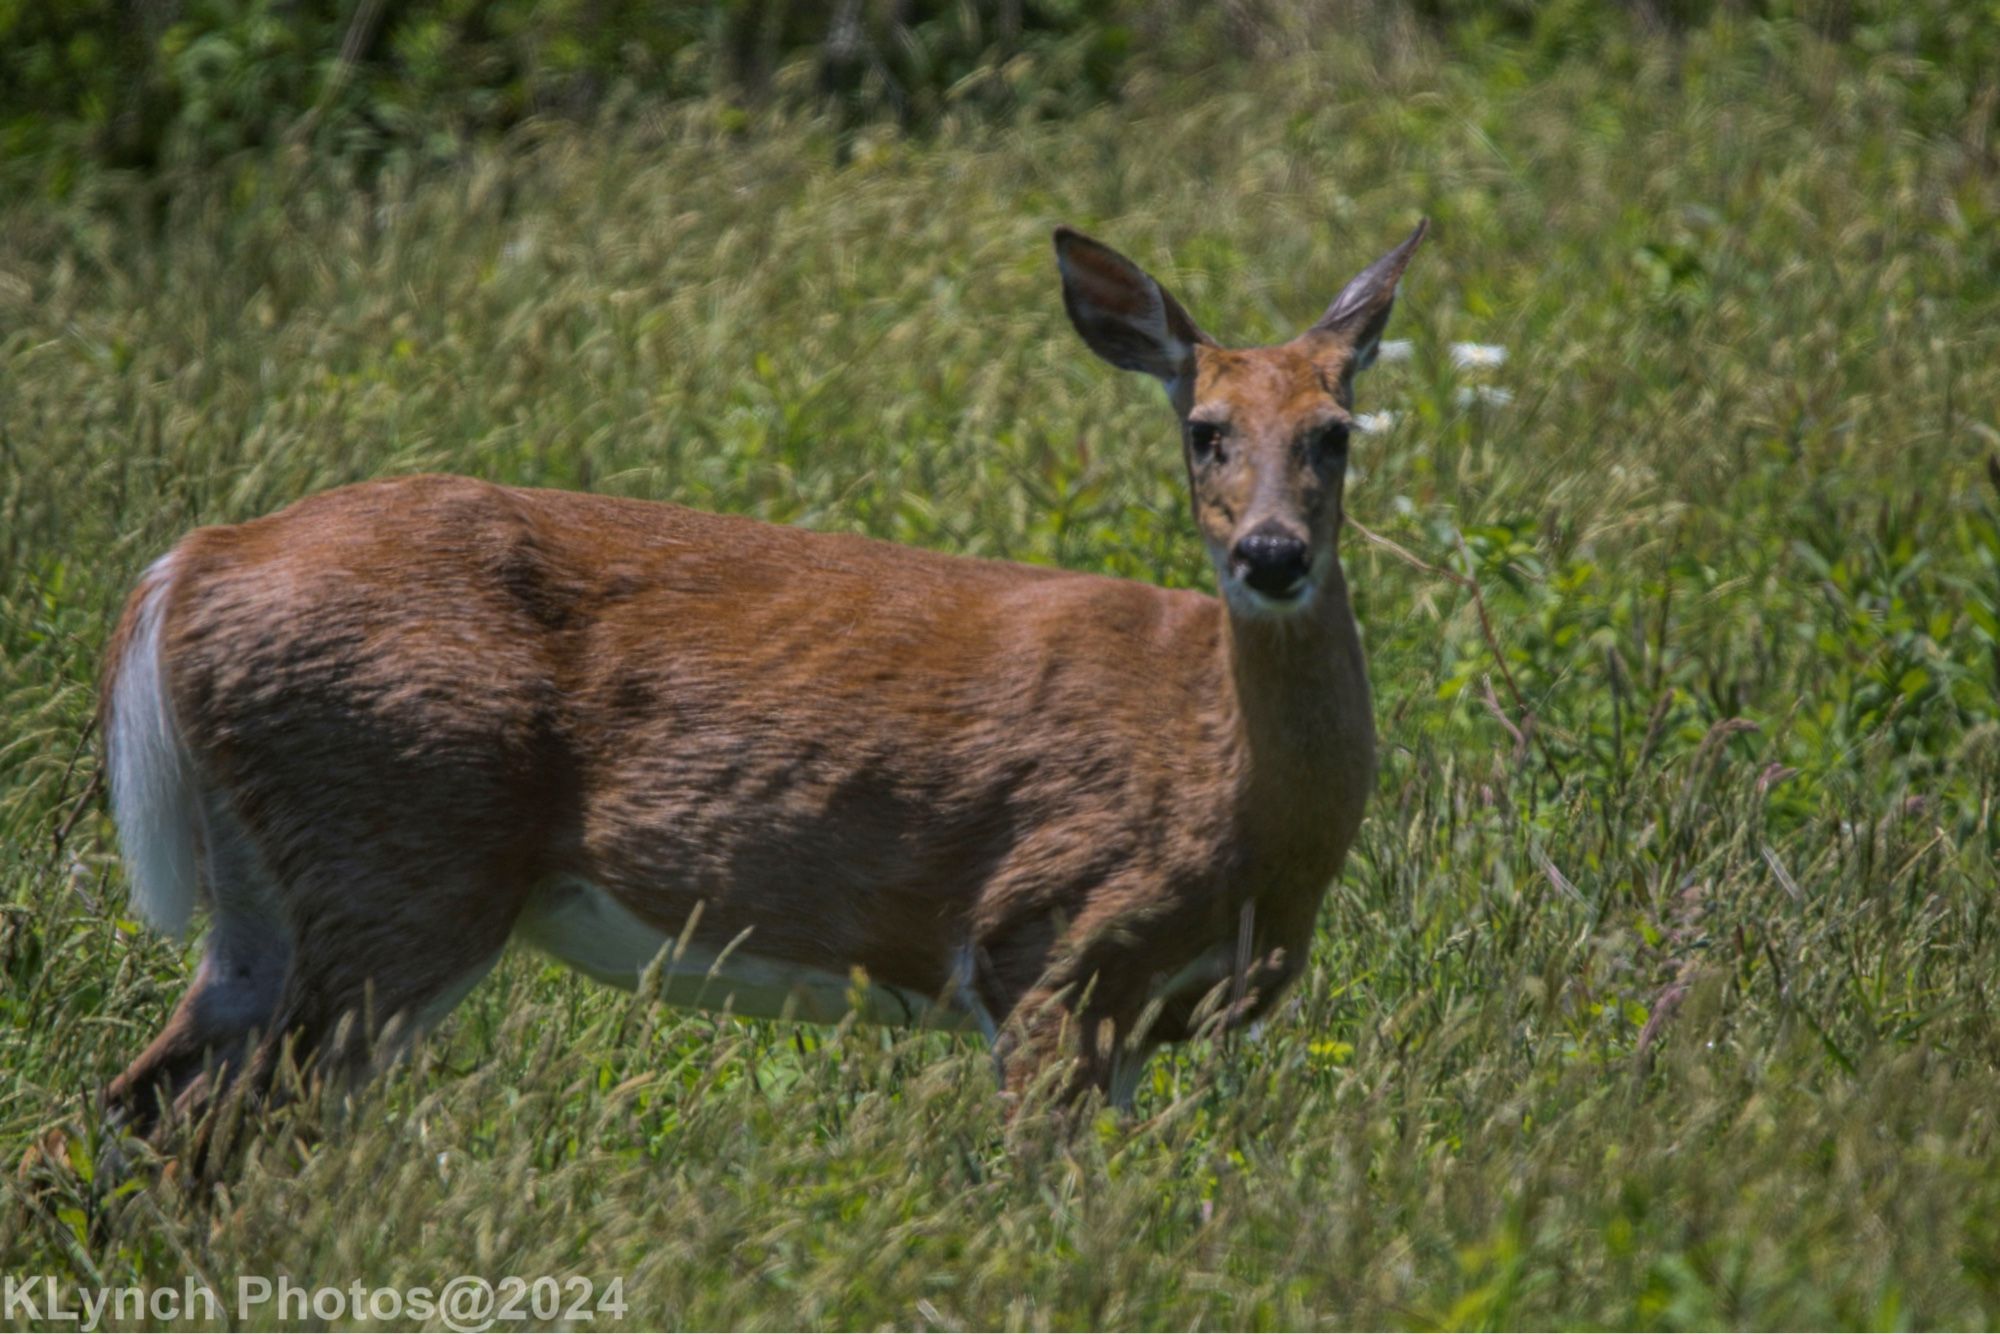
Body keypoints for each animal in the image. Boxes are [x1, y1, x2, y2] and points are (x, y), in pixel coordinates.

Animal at [101, 219, 1432, 1136]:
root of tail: (193, 561)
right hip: (401, 853)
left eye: (1333, 433)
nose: (1271, 554)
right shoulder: (1048, 943)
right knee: (232, 1123)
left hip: (276, 890)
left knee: (133, 1104)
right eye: (1203, 430)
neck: (1233, 791)